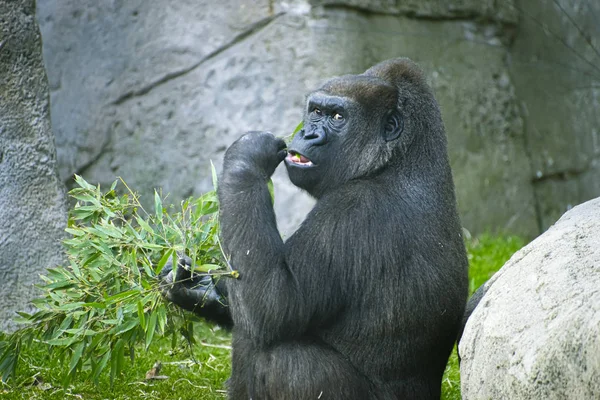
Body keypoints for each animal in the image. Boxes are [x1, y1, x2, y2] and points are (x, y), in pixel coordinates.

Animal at [161, 57, 468, 398]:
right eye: (316, 112)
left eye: (337, 117)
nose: (307, 134)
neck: (399, 160)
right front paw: (197, 289)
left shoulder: (352, 210)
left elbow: (274, 305)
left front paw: (247, 155)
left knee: (276, 352)